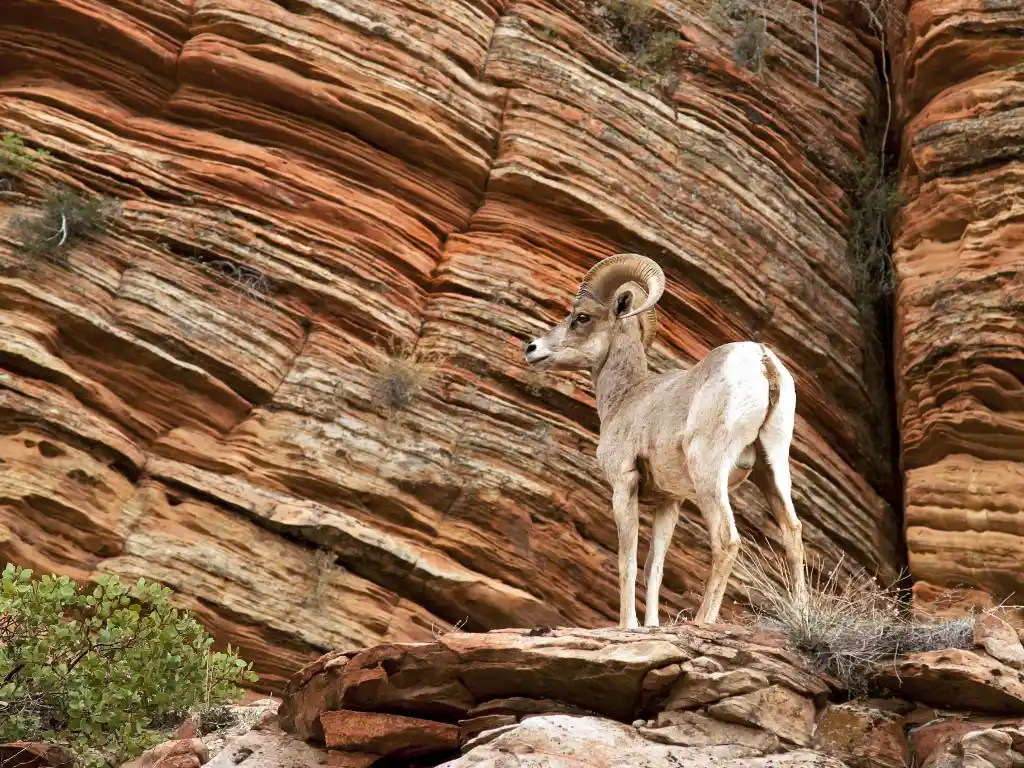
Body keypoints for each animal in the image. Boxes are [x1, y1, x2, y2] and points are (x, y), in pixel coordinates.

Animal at [523, 253, 809, 627]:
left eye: (582, 317)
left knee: (727, 540)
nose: (531, 348)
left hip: (708, 473)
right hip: (772, 466)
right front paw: (652, 626)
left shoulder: (624, 486)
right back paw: (803, 618)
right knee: (792, 532)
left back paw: (703, 620)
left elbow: (627, 560)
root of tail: (762, 362)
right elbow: (654, 567)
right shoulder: (670, 502)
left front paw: (627, 626)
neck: (626, 397)